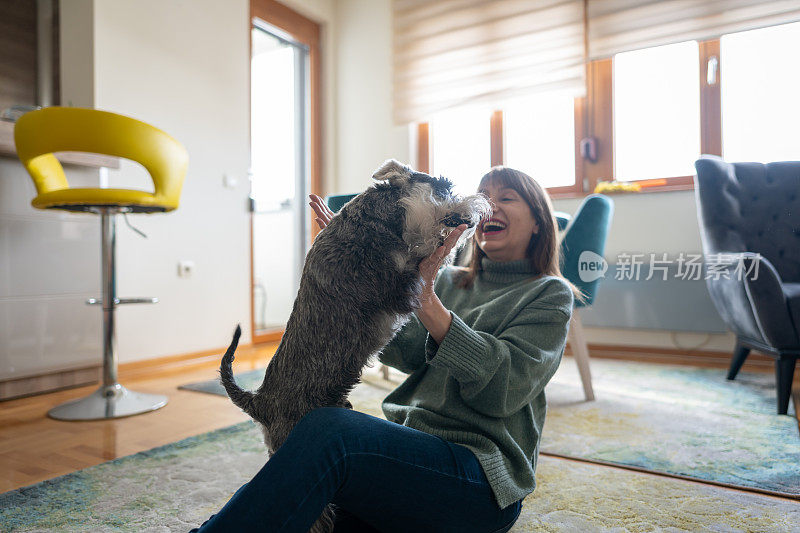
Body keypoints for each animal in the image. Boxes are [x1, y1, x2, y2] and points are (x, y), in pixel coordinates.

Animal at [222, 159, 490, 532]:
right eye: (442, 186)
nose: (477, 206)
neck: (380, 219)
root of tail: (257, 402)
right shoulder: (401, 284)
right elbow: (434, 254)